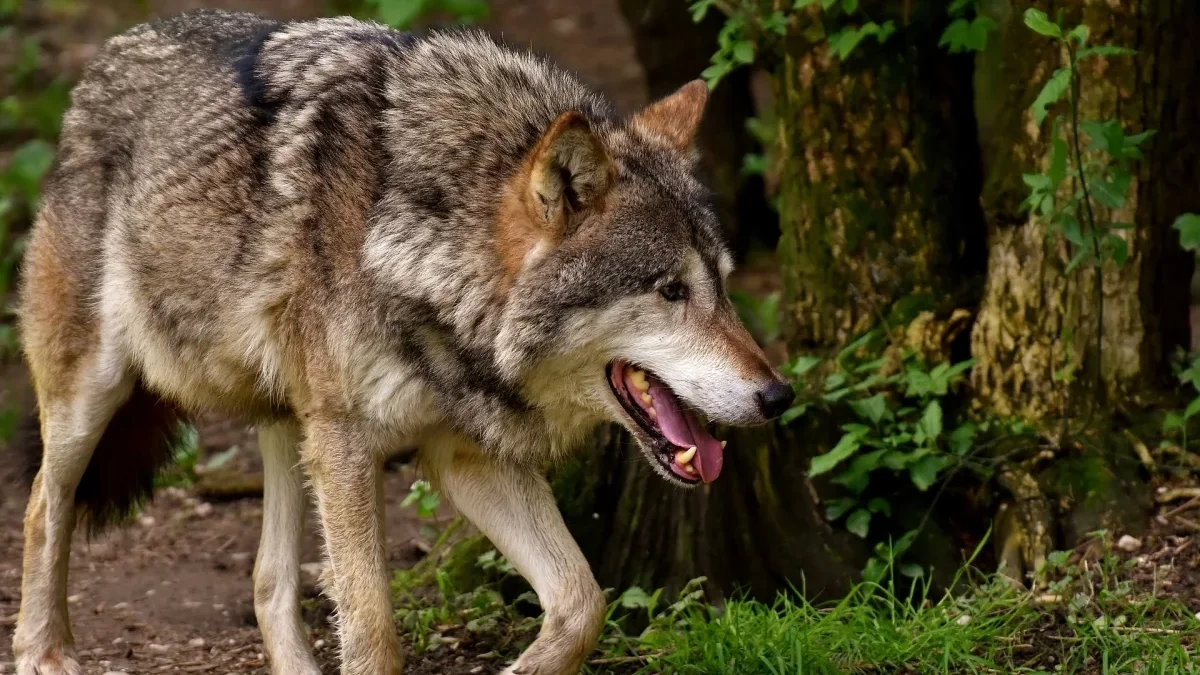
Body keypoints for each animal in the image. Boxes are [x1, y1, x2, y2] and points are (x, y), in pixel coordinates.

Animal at [11, 10, 796, 672]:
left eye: (724, 285)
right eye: (671, 291)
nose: (778, 395)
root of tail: (108, 56)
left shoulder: (463, 454)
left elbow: (582, 603)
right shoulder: (350, 446)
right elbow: (375, 633)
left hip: (291, 422)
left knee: (268, 581)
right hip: (97, 395)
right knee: (43, 506)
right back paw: (44, 652)